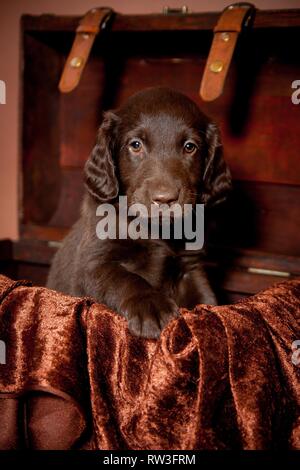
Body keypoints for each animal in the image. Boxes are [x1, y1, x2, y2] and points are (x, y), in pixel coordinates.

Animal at [47, 87, 231, 338]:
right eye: (135, 145)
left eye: (190, 146)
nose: (165, 199)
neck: (155, 230)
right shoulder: (92, 263)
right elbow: (125, 277)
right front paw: (151, 305)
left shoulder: (190, 266)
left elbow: (205, 294)